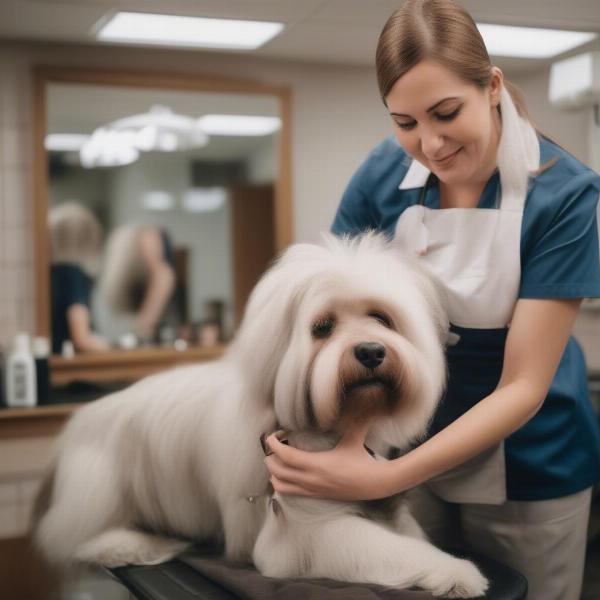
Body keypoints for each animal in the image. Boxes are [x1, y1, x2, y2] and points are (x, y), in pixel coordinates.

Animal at [35, 233, 488, 596]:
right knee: (79, 538)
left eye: (381, 318)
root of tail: (84, 417)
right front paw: (458, 573)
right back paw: (137, 544)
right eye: (322, 327)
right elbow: (396, 549)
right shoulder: (306, 533)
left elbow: (410, 534)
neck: (336, 426)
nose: (372, 351)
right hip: (101, 489)